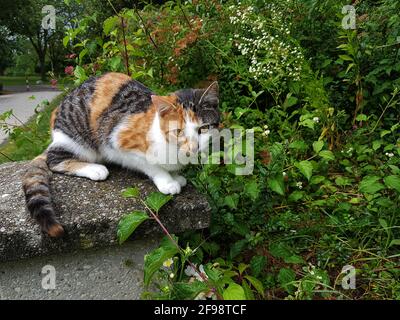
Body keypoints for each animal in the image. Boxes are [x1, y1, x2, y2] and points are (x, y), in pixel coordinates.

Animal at [21, 72, 219, 238]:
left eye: (203, 129)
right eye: (178, 132)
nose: (193, 147)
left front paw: (176, 176)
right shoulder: (119, 142)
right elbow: (151, 166)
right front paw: (168, 181)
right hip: (78, 140)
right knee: (54, 160)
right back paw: (95, 169)